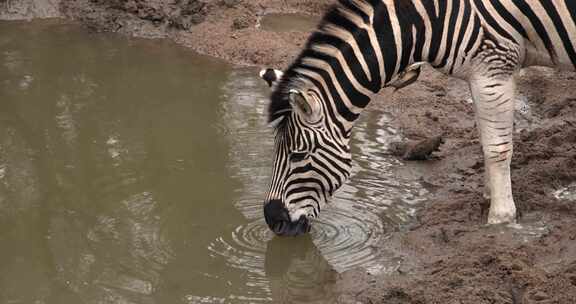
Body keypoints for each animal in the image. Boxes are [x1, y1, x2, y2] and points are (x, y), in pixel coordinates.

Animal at [260, 0, 576, 236]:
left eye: (299, 155)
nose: (272, 221)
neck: (425, 21)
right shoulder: (482, 73)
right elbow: (487, 139)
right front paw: (492, 194)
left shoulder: (494, 67)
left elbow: (497, 148)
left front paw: (501, 218)